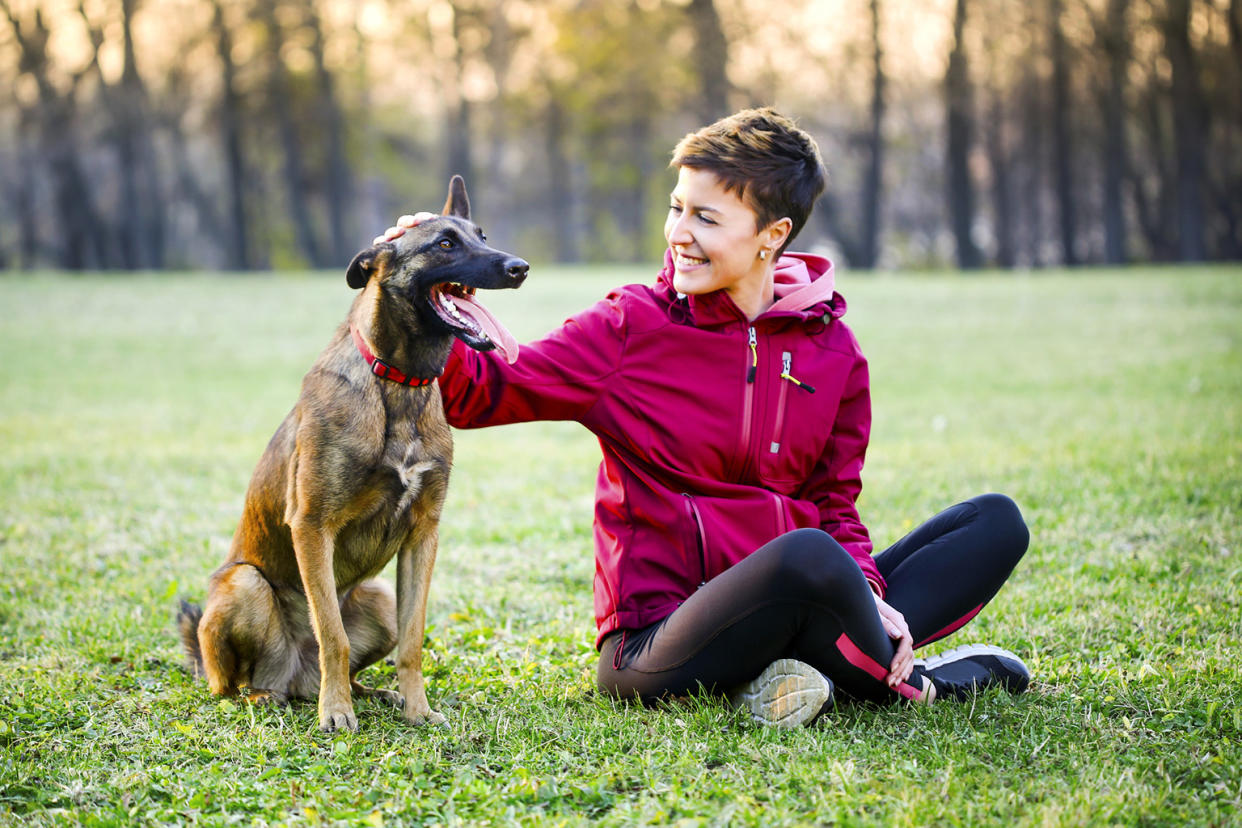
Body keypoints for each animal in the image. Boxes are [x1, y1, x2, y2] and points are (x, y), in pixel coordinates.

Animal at [177, 176, 526, 729]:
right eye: (444, 243)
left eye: (482, 236)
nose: (519, 268)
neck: (398, 384)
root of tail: (295, 677)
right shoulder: (311, 526)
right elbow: (332, 634)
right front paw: (336, 711)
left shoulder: (423, 534)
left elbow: (412, 641)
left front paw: (417, 708)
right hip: (244, 585)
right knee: (230, 684)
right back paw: (271, 695)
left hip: (379, 600)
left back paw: (373, 693)